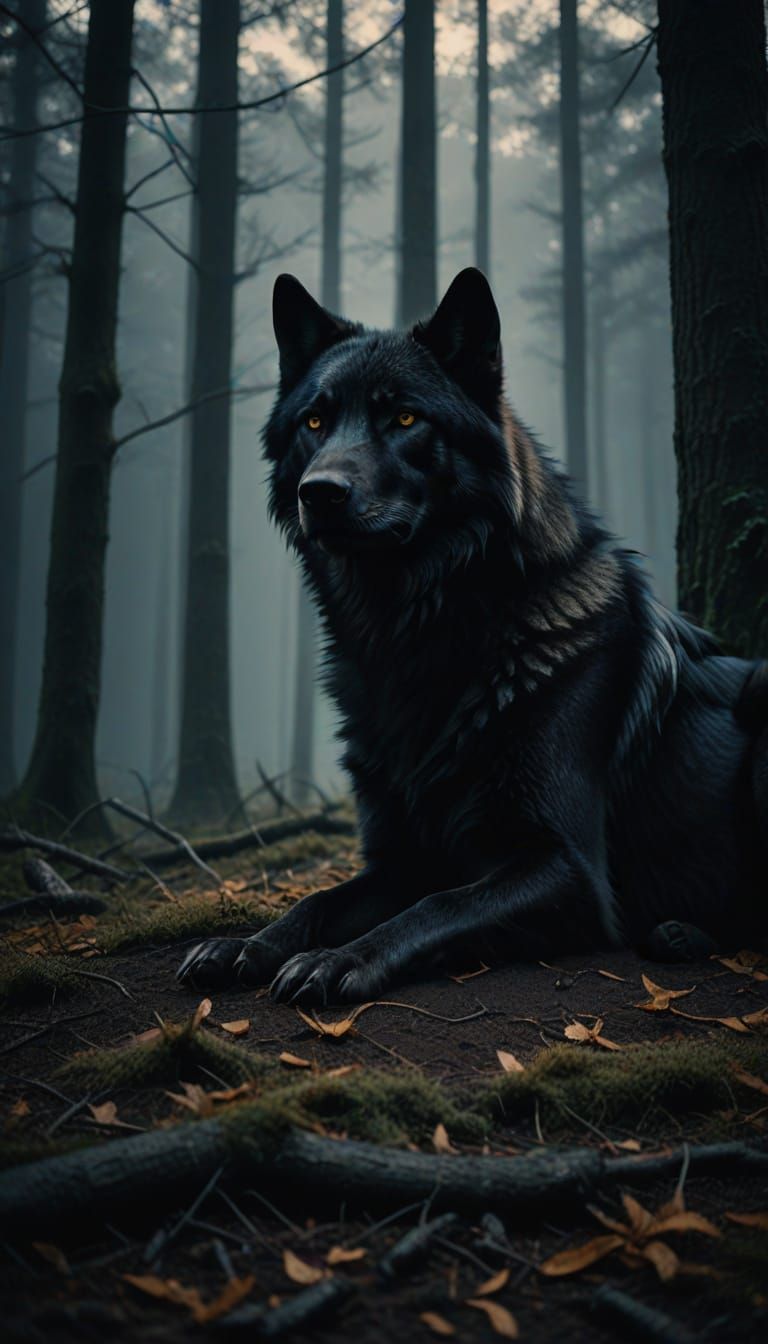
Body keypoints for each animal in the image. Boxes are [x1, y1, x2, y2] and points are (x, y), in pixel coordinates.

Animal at [178, 268, 767, 1005]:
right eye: (315, 421)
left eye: (405, 418)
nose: (320, 492)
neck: (410, 638)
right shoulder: (402, 855)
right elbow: (318, 900)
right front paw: (246, 946)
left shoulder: (569, 869)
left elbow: (439, 904)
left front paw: (340, 960)